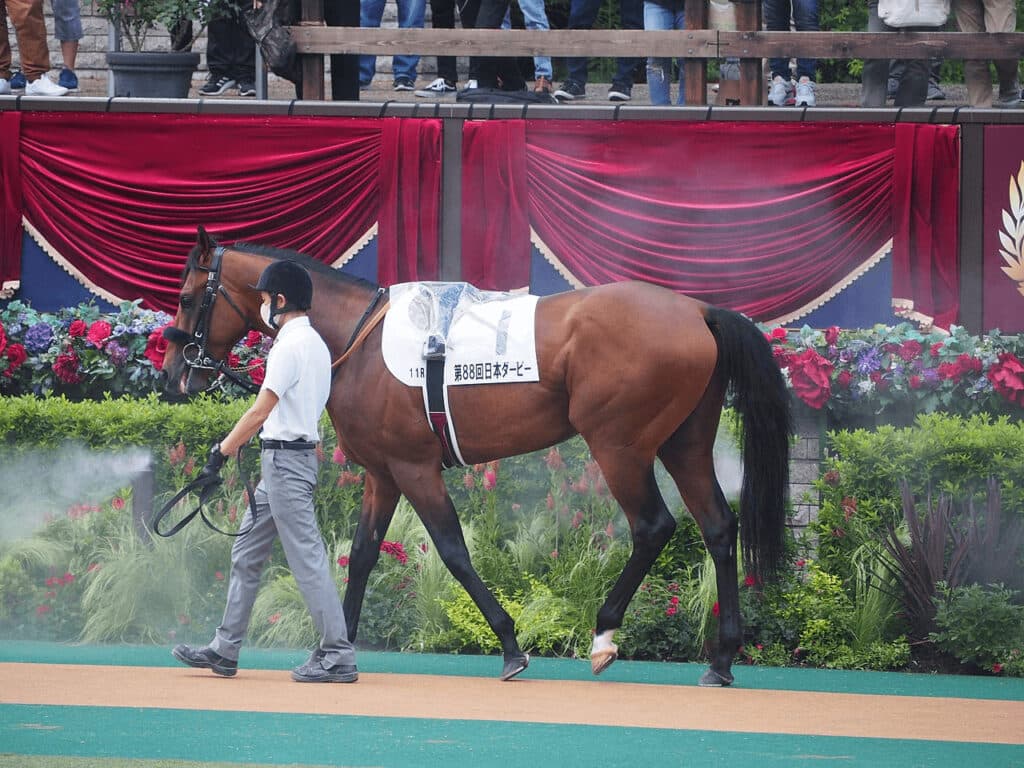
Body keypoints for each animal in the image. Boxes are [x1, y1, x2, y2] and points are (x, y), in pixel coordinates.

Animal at [160, 226, 792, 687]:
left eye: (188, 298)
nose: (173, 378)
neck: (357, 339)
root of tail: (697, 311)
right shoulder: (383, 473)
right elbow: (361, 556)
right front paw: (333, 651)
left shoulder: (414, 468)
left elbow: (453, 551)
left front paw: (511, 646)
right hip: (686, 442)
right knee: (718, 526)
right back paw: (721, 661)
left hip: (619, 445)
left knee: (654, 526)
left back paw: (604, 635)